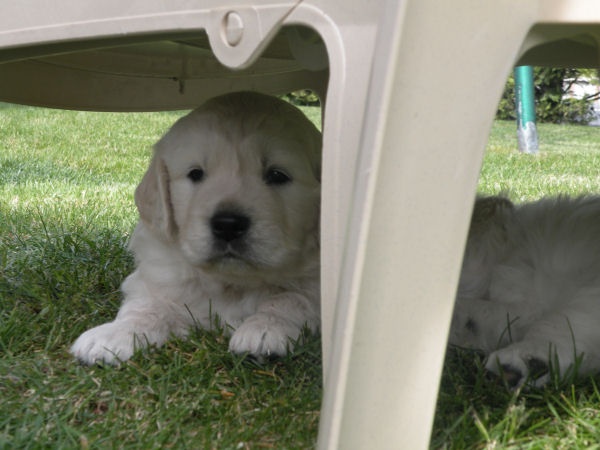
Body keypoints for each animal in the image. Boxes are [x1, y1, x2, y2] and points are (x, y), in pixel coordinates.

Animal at [69, 91, 322, 366]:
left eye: (277, 175)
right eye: (196, 174)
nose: (228, 225)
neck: (231, 283)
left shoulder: (315, 286)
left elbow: (290, 299)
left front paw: (263, 330)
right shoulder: (158, 280)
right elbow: (145, 307)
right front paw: (112, 336)